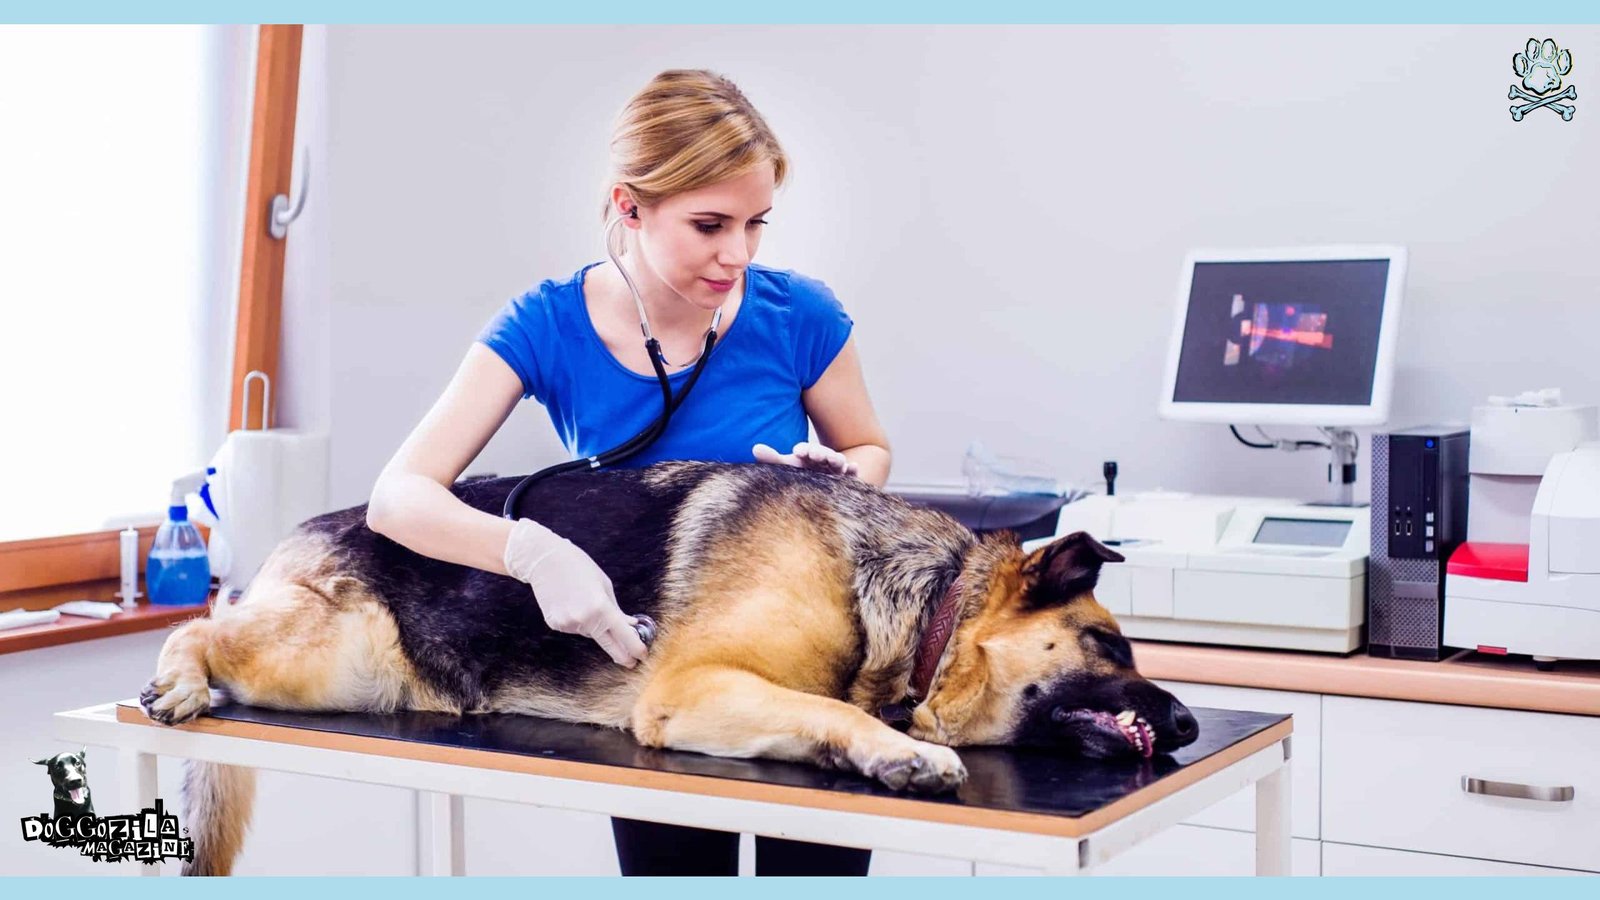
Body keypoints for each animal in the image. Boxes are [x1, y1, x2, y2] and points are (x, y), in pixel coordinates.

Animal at [144, 461, 1196, 871]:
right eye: (1110, 644)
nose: (1187, 724)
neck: (922, 604)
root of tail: (313, 523)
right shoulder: (689, 692)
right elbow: (838, 710)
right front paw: (903, 752)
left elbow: (828, 710)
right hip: (325, 658)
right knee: (210, 621)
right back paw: (177, 678)